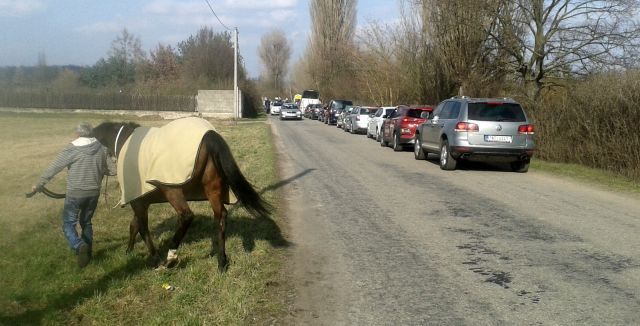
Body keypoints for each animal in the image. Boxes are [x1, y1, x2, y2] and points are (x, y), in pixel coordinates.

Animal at [90, 120, 270, 272]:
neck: (126, 143)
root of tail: (209, 134)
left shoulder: (138, 201)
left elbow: (142, 227)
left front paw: (154, 259)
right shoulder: (141, 199)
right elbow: (134, 225)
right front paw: (129, 251)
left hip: (172, 189)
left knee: (186, 215)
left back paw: (170, 258)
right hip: (213, 188)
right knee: (221, 217)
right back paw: (221, 262)